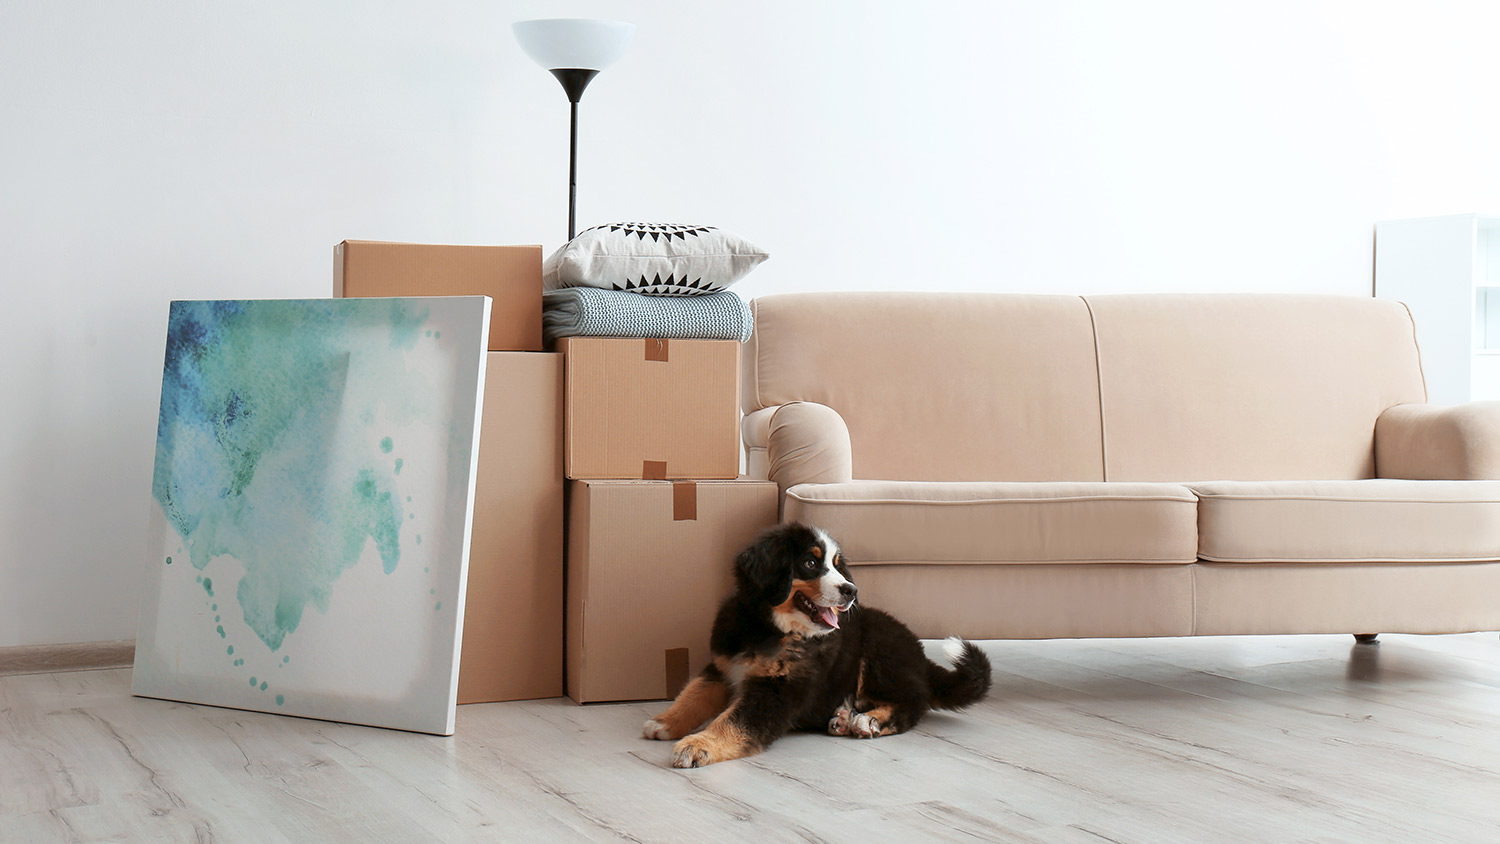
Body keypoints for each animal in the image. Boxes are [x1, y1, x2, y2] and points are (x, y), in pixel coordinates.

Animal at [639, 518, 990, 767]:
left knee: (913, 703)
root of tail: (920, 655)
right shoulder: (723, 666)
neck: (767, 629)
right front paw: (665, 721)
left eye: (836, 564)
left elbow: (734, 721)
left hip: (881, 653)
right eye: (810, 563)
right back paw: (843, 718)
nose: (851, 590)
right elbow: (693, 693)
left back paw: (868, 721)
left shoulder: (778, 688)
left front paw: (697, 745)